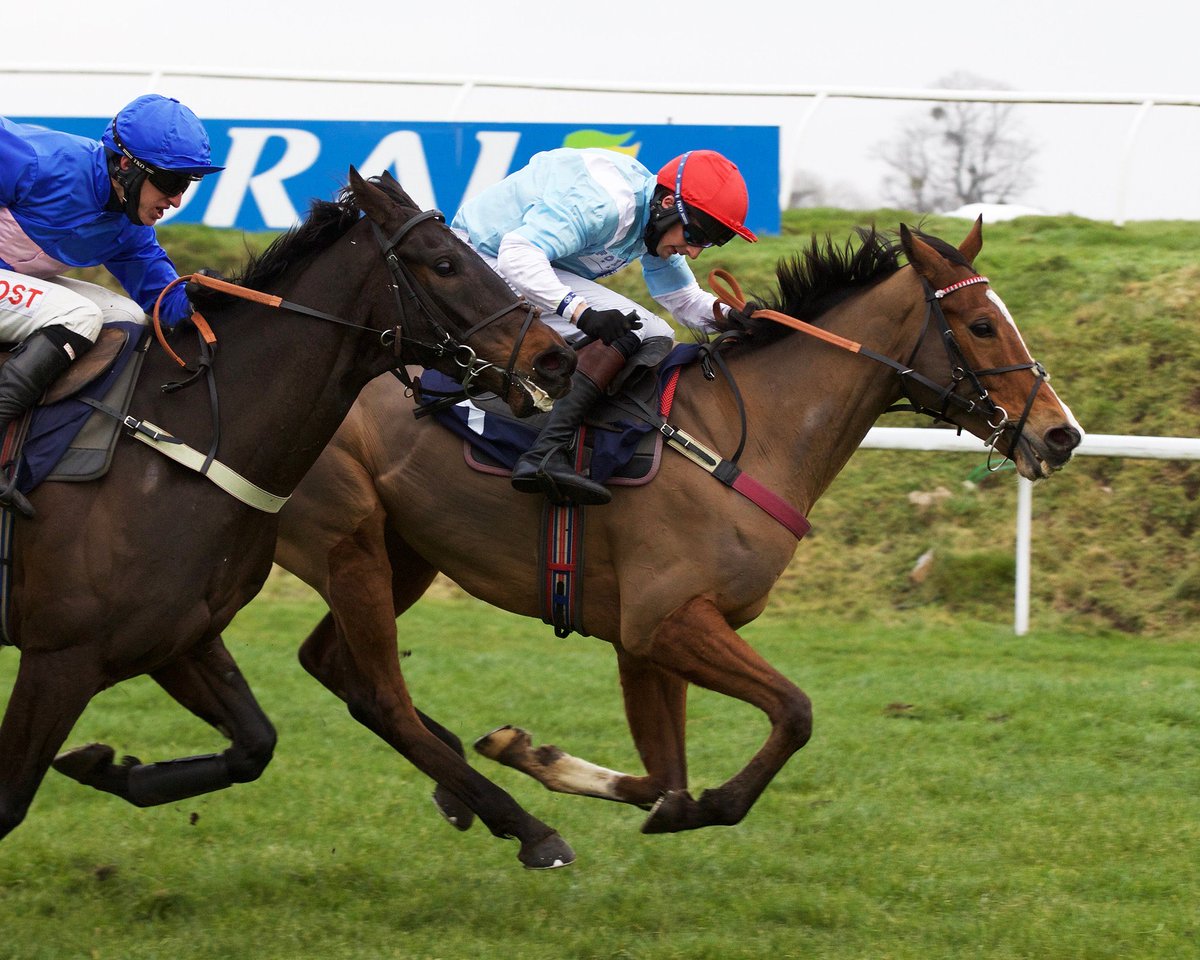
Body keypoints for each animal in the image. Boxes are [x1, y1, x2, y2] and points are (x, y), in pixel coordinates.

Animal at [0, 169, 576, 864]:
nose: (555, 359)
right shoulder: (61, 657)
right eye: (444, 263)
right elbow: (7, 800)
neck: (179, 438)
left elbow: (255, 744)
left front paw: (105, 766)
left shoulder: (175, 637)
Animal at [274, 219, 1089, 868]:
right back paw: (509, 814)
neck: (747, 433)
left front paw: (533, 753)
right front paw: (698, 805)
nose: (1062, 433)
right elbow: (791, 715)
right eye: (981, 325)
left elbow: (663, 778)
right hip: (348, 543)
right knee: (377, 691)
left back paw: (462, 787)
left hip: (402, 553)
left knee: (334, 666)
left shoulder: (643, 637)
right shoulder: (664, 620)